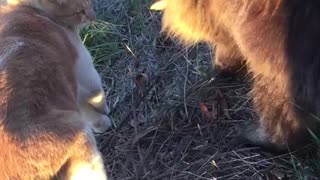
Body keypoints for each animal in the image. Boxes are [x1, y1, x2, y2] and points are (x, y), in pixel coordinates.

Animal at [0, 0, 109, 179]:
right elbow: (97, 94)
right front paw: (105, 112)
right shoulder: (83, 68)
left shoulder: (70, 89)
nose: (93, 17)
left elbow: (87, 113)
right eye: (79, 11)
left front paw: (101, 123)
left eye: (90, 3)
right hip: (82, 145)